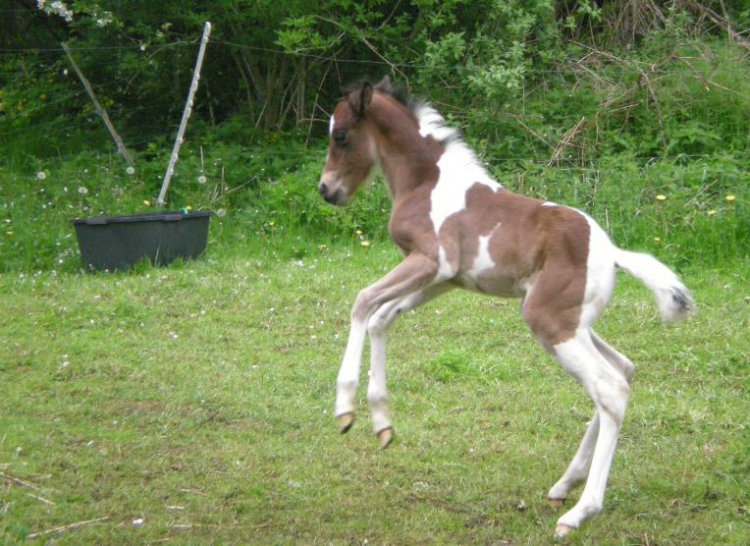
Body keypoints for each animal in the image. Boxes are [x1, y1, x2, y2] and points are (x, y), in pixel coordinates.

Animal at [318, 77, 700, 536]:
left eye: (341, 135)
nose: (326, 190)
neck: (427, 183)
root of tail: (611, 253)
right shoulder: (442, 279)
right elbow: (381, 318)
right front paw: (382, 423)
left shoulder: (430, 261)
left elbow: (362, 303)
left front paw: (345, 410)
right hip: (575, 323)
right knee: (622, 371)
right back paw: (564, 485)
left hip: (549, 322)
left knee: (610, 389)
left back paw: (579, 512)